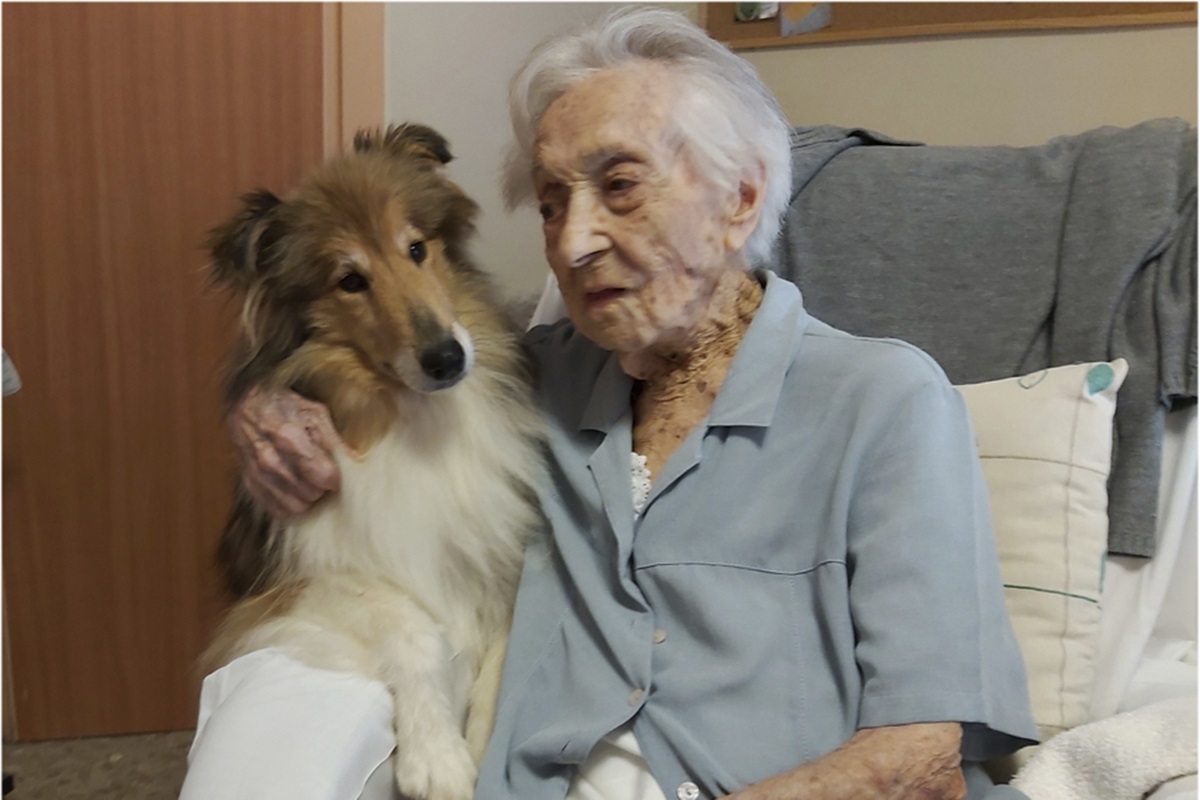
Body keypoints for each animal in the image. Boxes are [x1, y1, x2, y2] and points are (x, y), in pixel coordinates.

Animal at [202, 125, 549, 800]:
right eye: (349, 280)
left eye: (417, 248)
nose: (447, 358)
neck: (415, 419)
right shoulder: (297, 582)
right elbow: (407, 622)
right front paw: (436, 758)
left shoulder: (501, 564)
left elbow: (504, 664)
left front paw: (482, 748)